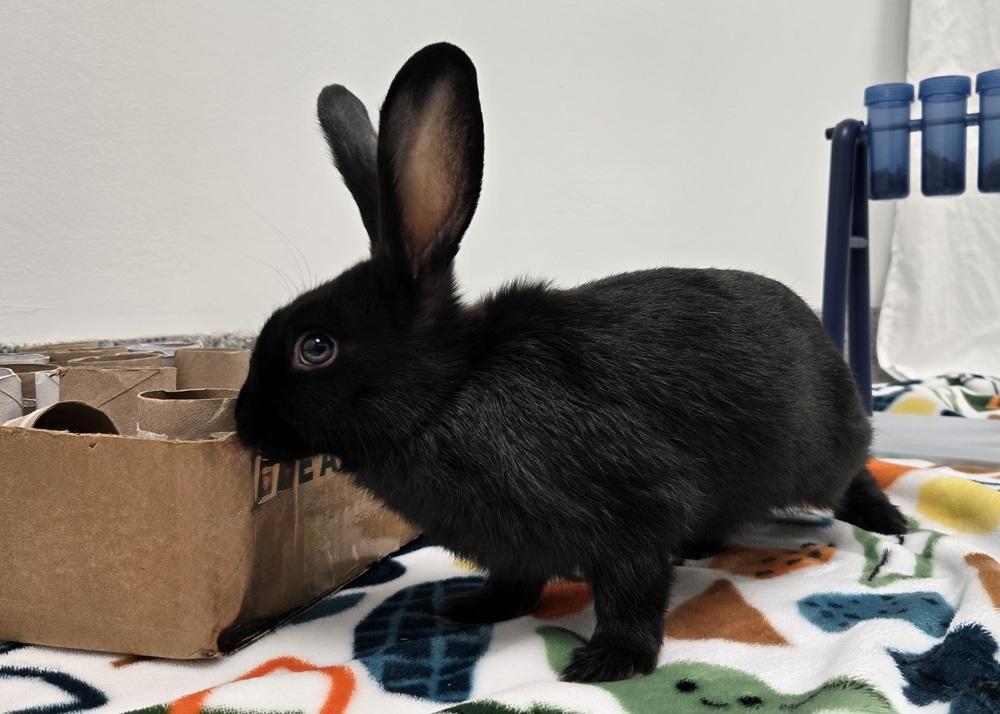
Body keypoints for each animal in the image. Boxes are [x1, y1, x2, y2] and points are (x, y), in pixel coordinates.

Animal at [235, 42, 908, 683]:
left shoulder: (633, 517)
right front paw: (473, 608)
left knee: (856, 472)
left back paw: (888, 521)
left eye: (314, 348)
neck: (449, 394)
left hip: (819, 456)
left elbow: (632, 593)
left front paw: (611, 662)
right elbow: (515, 582)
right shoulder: (513, 548)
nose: (243, 426)